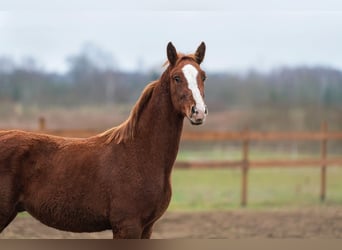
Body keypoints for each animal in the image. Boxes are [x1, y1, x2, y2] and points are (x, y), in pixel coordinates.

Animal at [0, 42, 207, 238]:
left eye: (203, 76)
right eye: (176, 77)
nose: (198, 112)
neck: (140, 154)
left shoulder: (147, 228)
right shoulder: (127, 226)